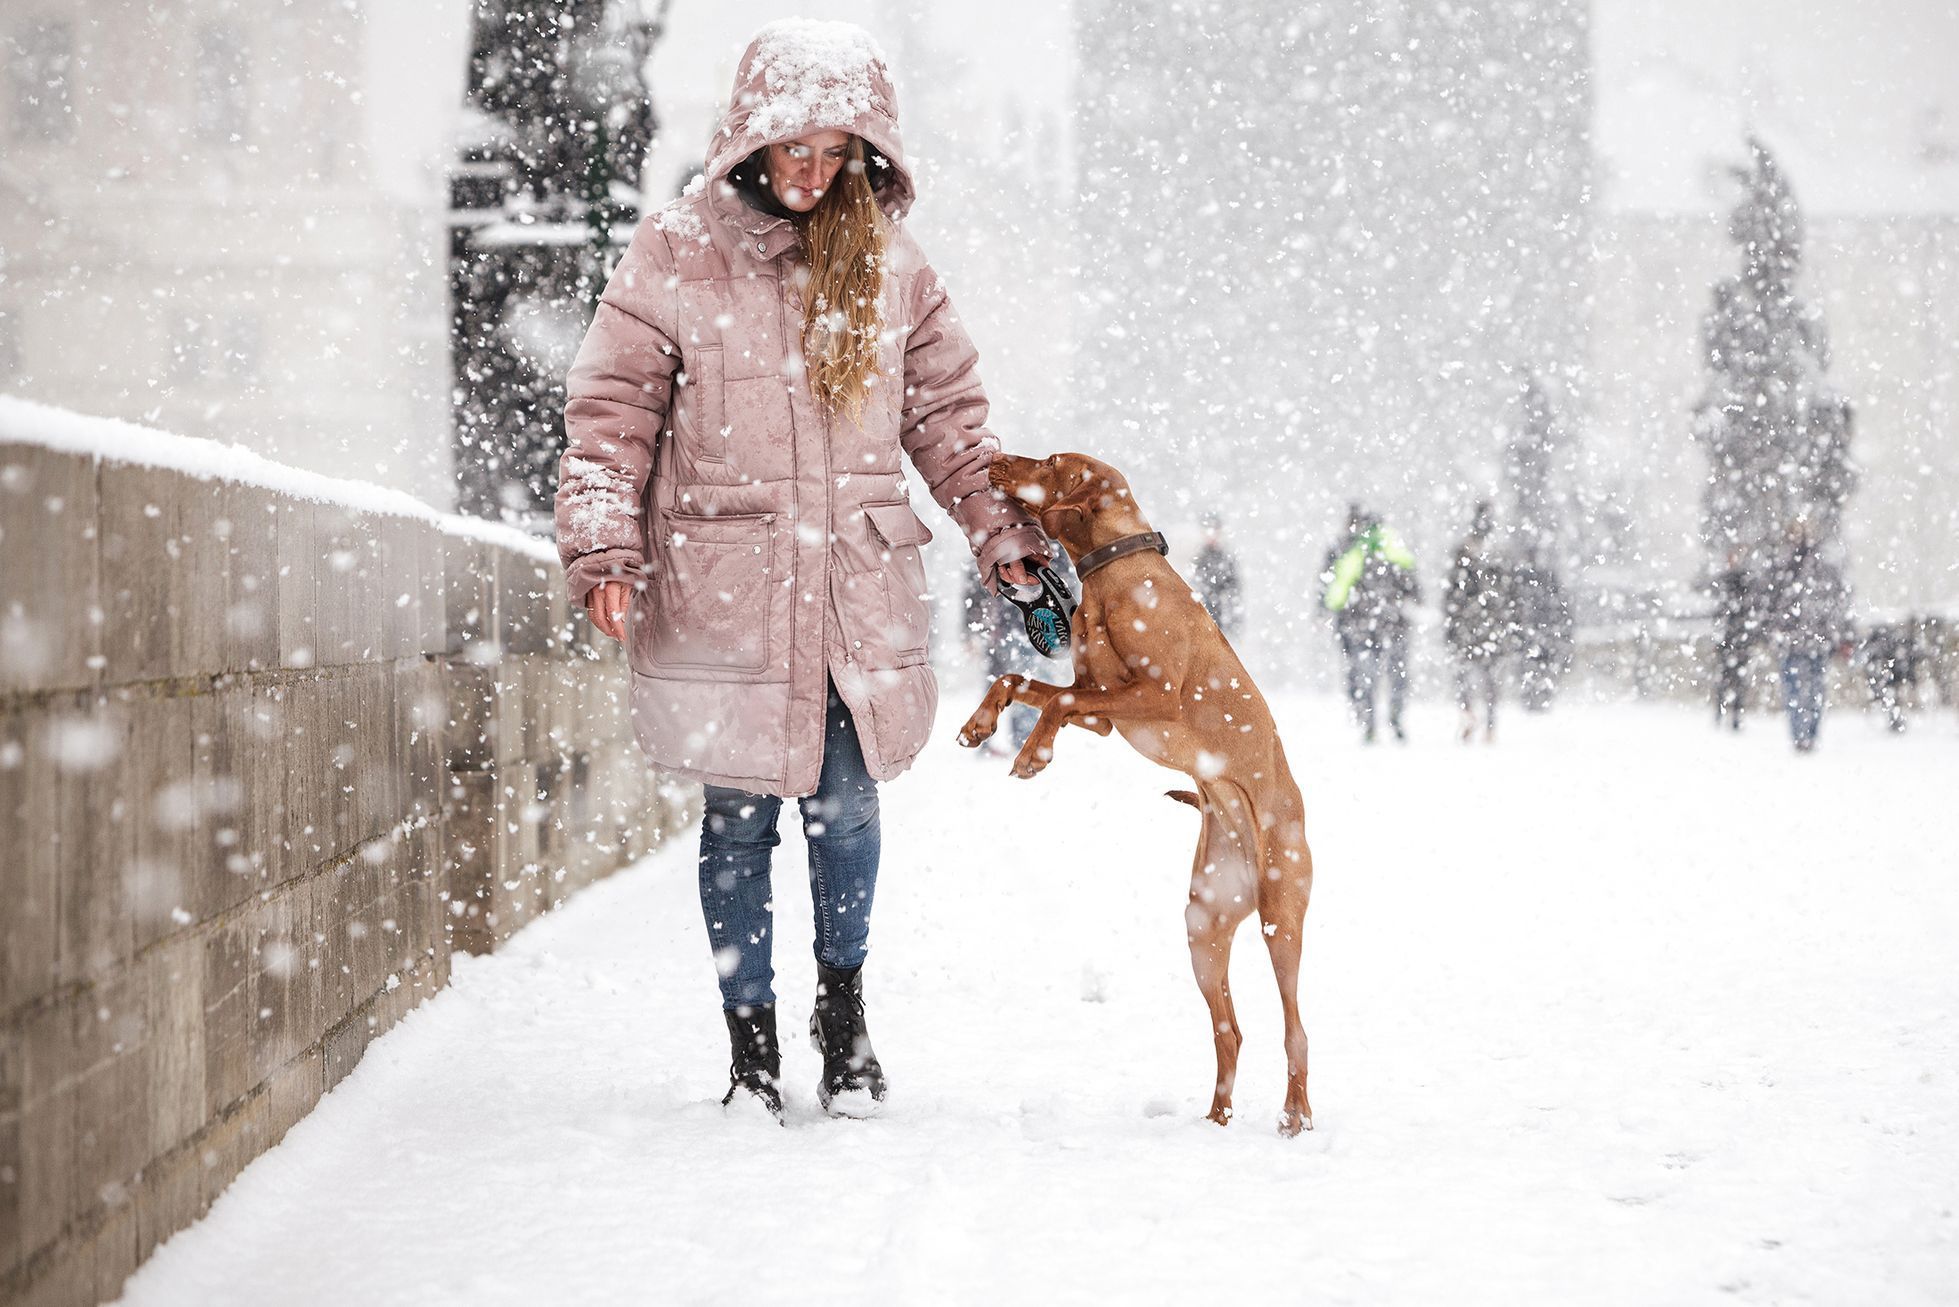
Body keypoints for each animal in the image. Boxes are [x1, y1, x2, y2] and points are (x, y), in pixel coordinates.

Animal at [963, 452, 1316, 1136]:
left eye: (1050, 461)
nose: (991, 457)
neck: (1114, 575)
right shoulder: (1101, 708)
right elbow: (1018, 678)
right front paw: (979, 724)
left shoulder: (1151, 696)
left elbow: (1058, 703)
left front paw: (1031, 755)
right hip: (1203, 926)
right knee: (1230, 1030)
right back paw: (1215, 1119)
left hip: (1280, 918)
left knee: (1297, 1028)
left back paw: (1296, 1115)